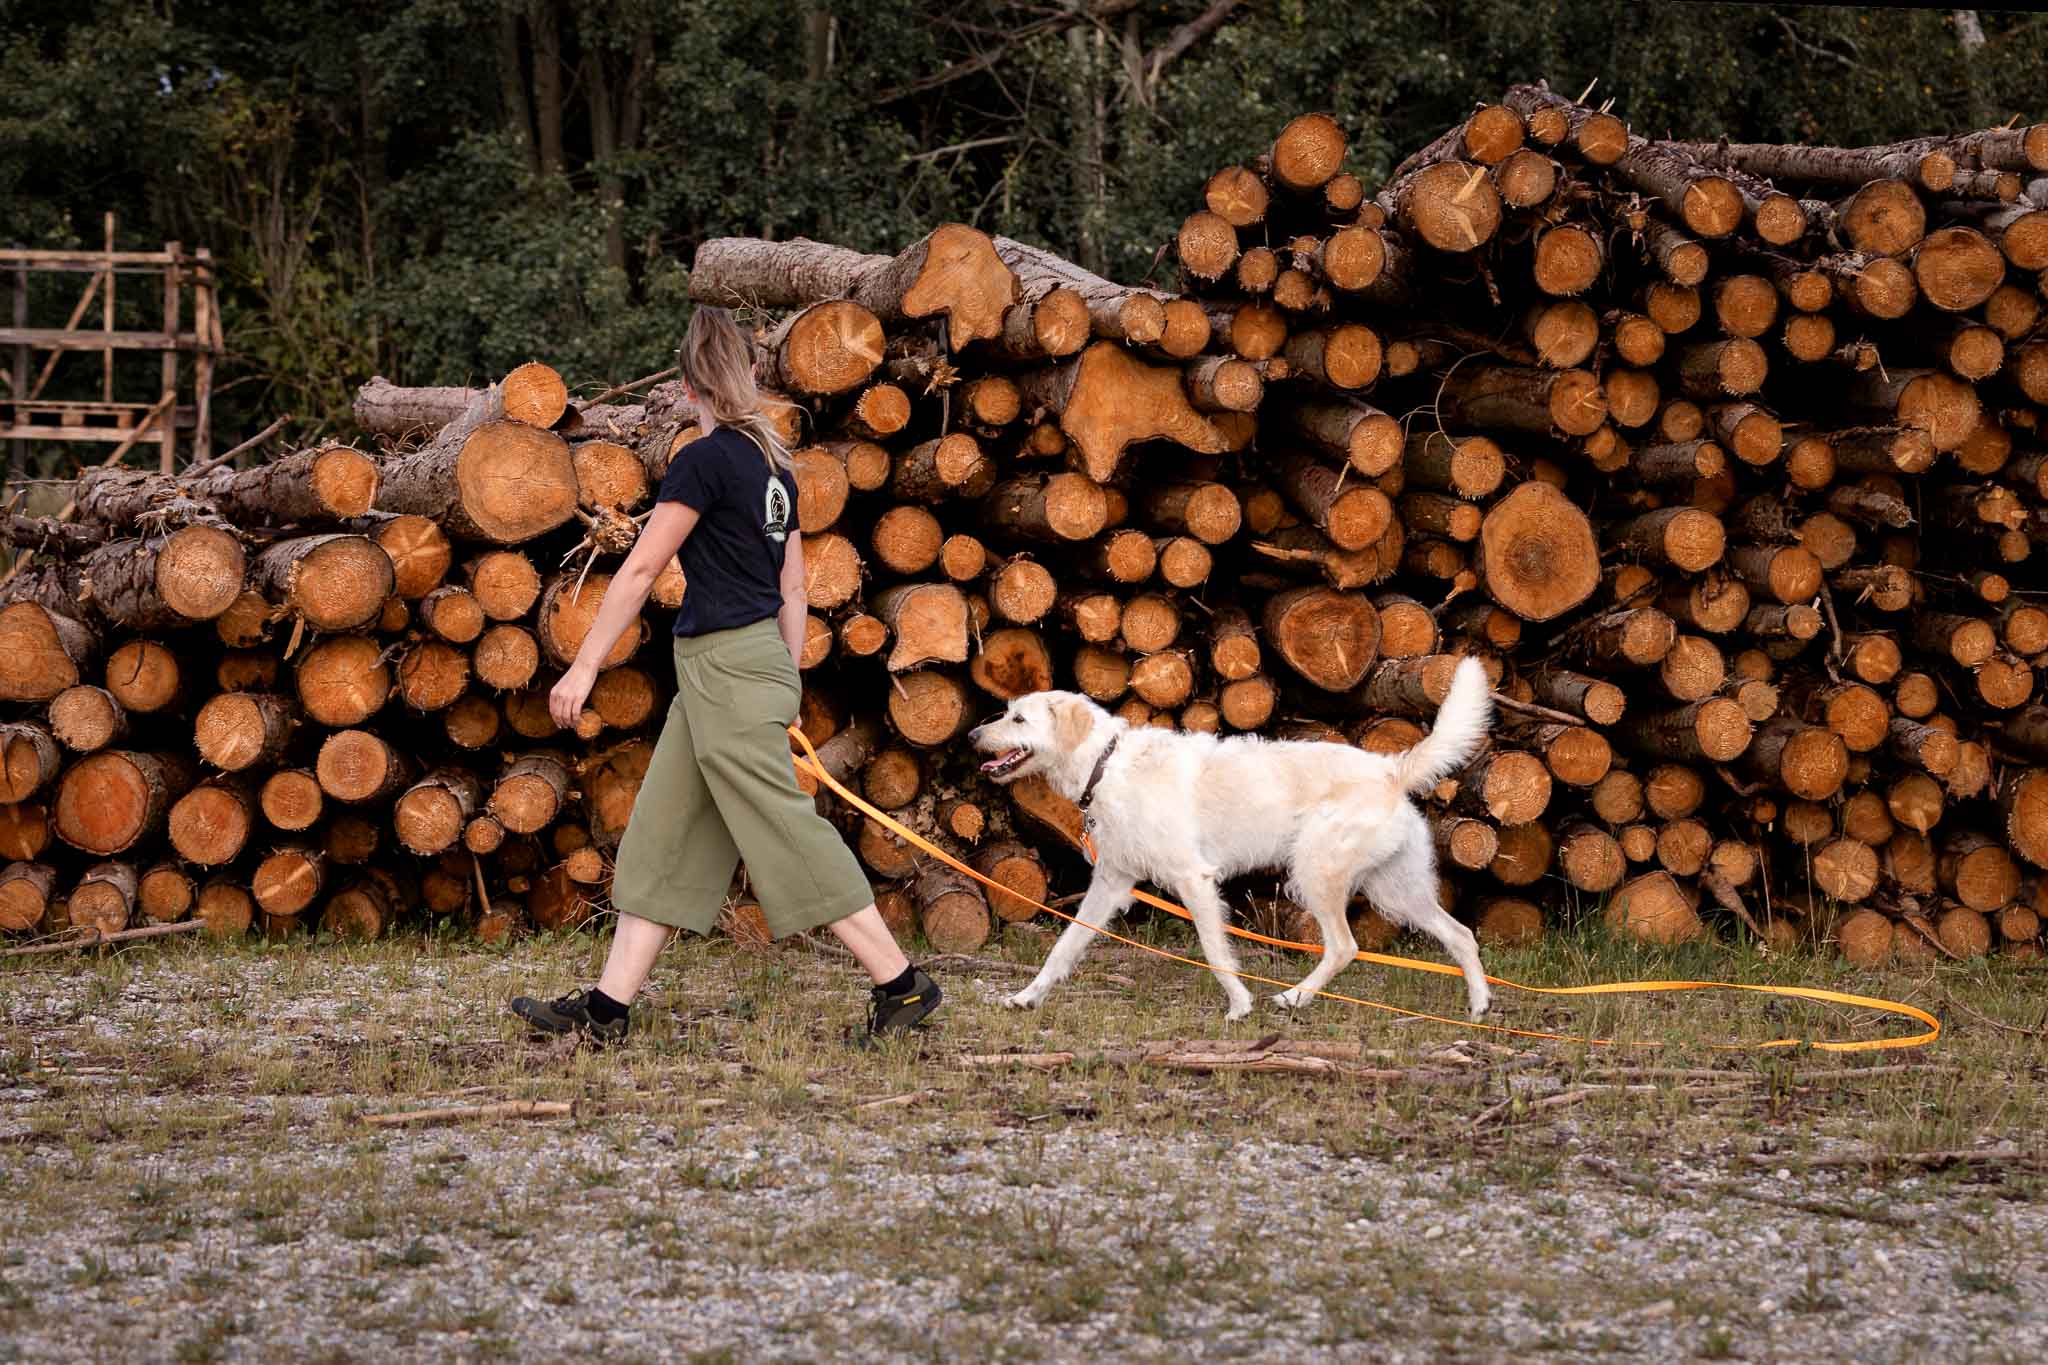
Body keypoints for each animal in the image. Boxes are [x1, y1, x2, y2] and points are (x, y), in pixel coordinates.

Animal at [966, 654, 1499, 1019]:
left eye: (1018, 719)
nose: (972, 737)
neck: (1106, 763)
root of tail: (1391, 769)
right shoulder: (1111, 883)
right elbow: (1064, 946)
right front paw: (1027, 996)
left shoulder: (1193, 878)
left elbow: (1214, 949)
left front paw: (1240, 1004)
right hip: (1397, 891)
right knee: (1461, 934)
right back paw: (1478, 1006)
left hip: (1318, 875)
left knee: (1345, 946)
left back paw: (1295, 997)